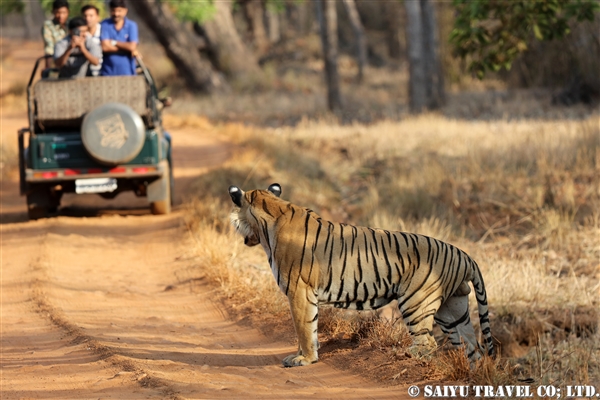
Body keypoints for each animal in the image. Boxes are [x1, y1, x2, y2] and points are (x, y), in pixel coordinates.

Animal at [227, 183, 494, 368]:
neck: (271, 211)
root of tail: (464, 255)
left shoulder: (299, 291)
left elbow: (304, 328)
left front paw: (304, 359)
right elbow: (310, 328)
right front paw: (307, 356)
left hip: (416, 302)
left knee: (428, 343)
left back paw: (404, 354)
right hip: (452, 311)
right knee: (474, 348)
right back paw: (474, 375)